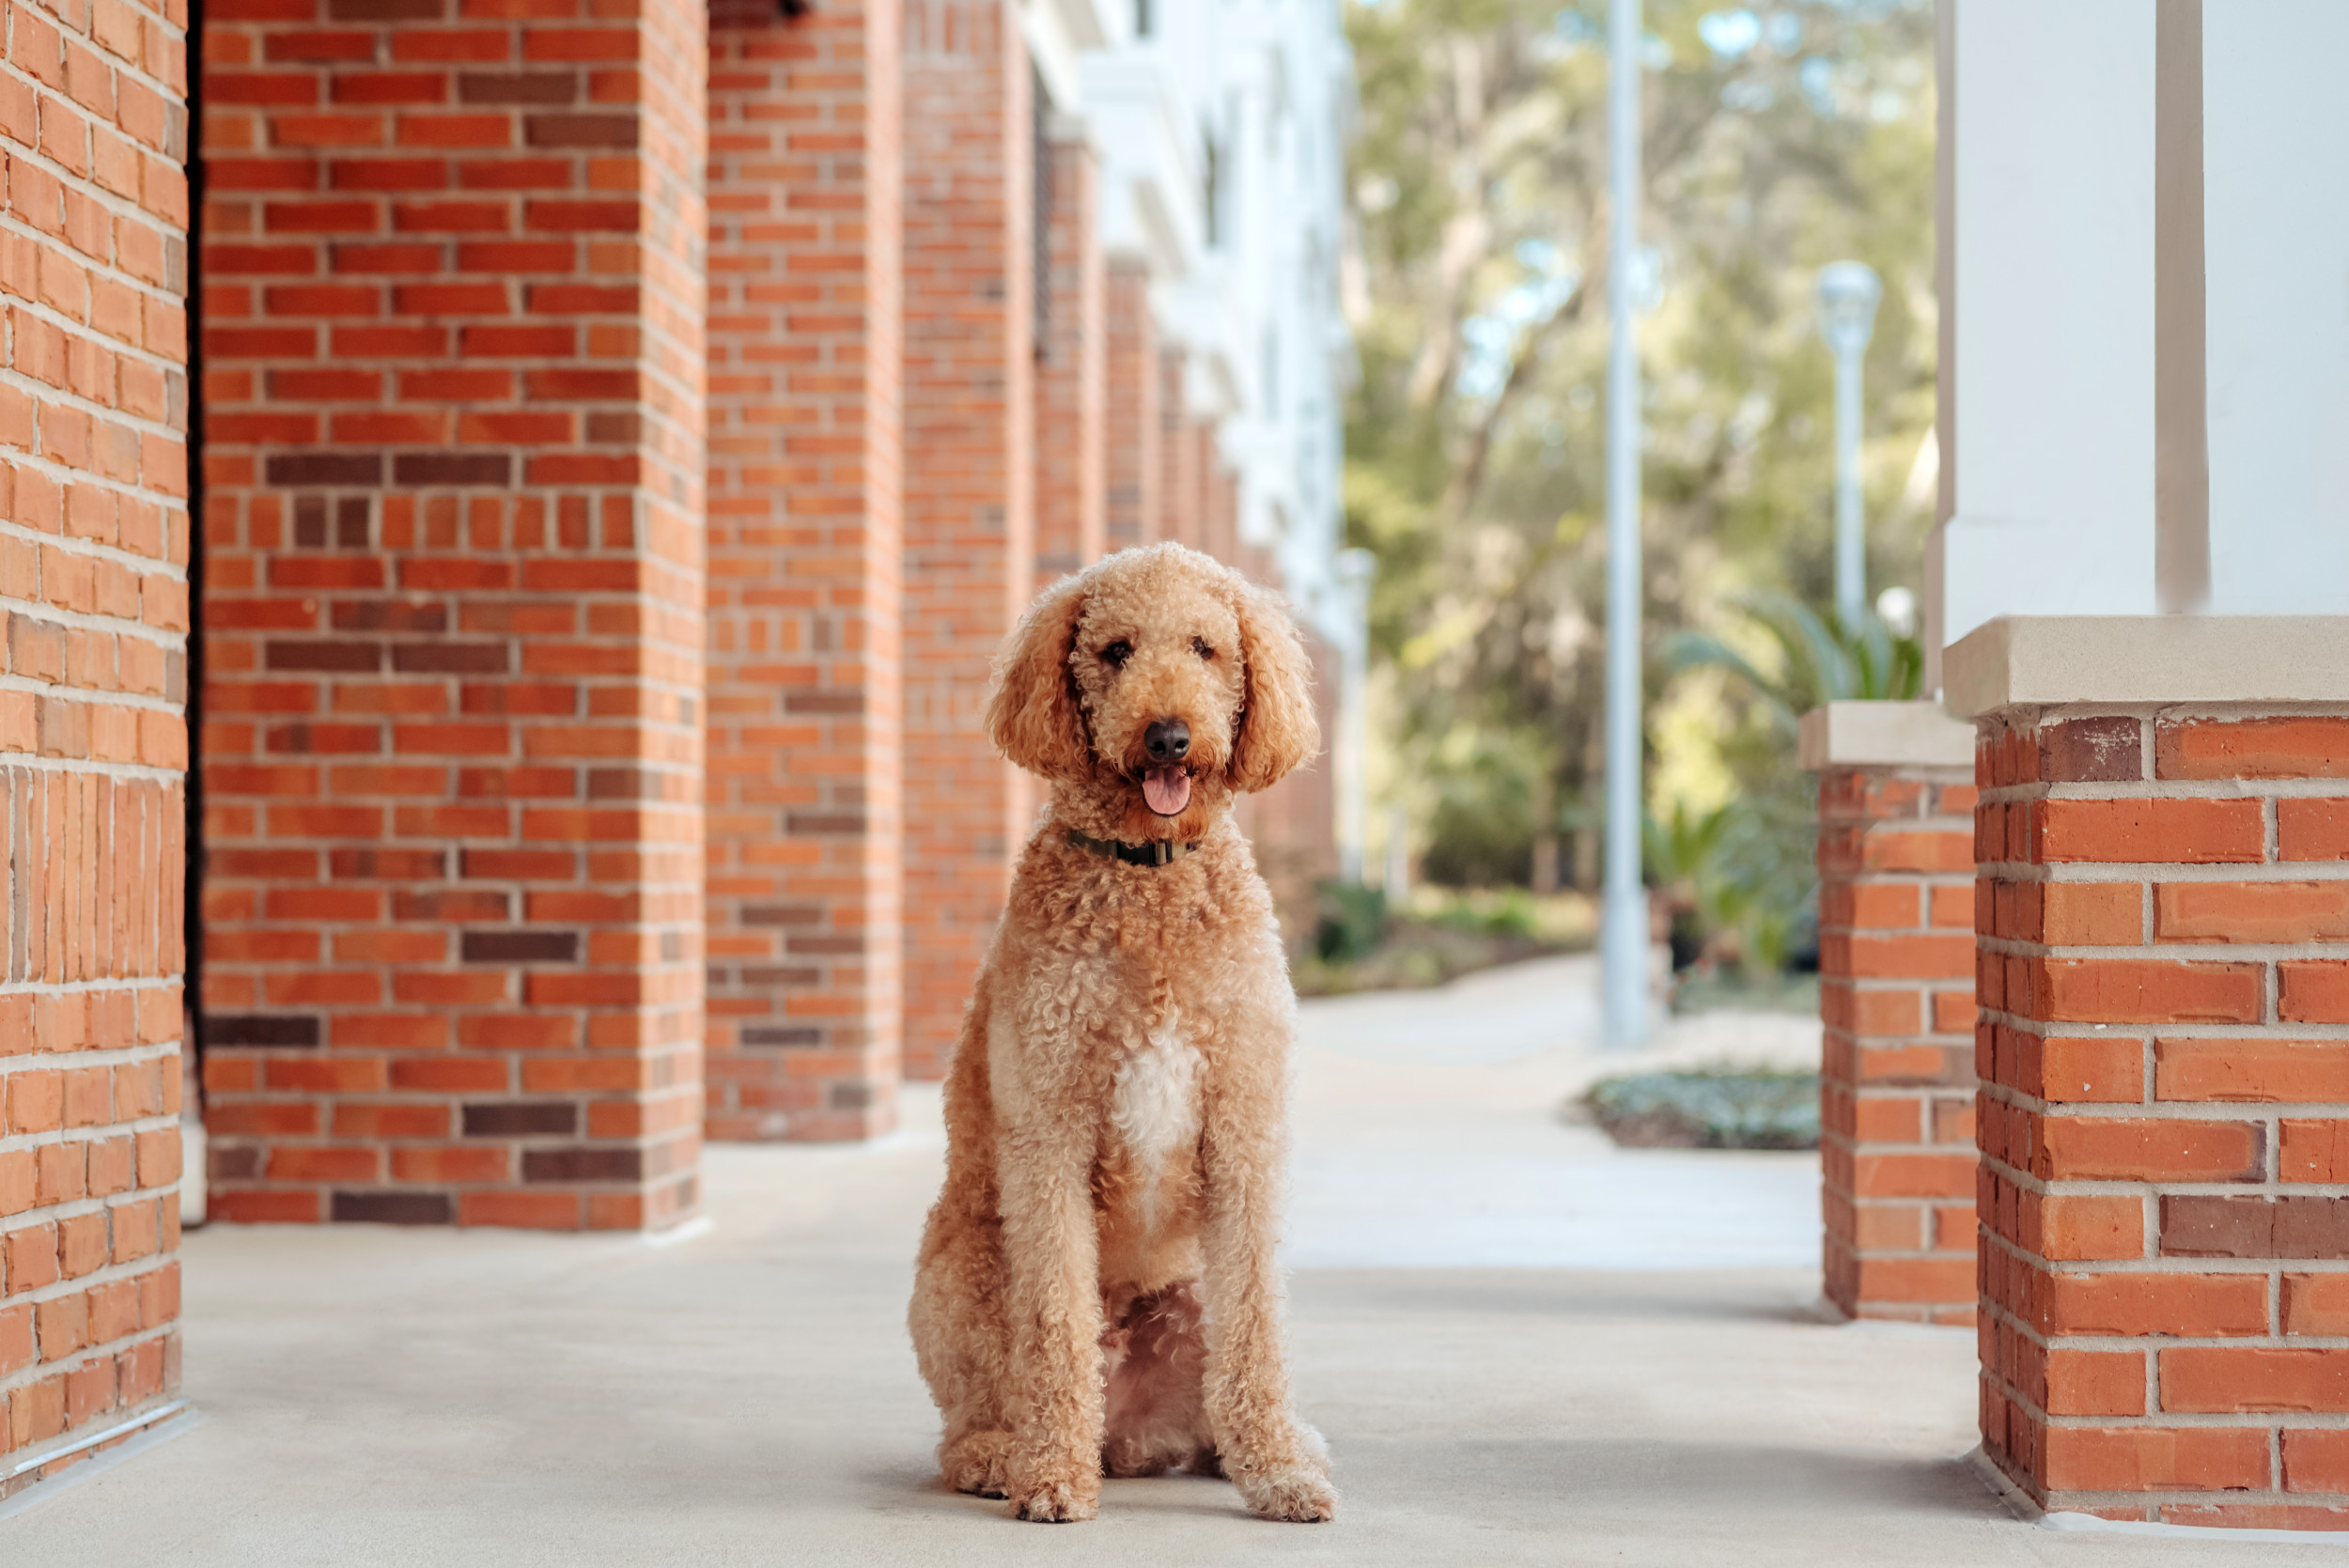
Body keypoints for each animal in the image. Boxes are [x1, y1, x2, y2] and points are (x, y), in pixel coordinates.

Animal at [902, 544, 1334, 1521]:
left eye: (1207, 648)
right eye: (1115, 650)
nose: (1168, 735)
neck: (1149, 877)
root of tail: (1130, 1433)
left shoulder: (1242, 1129)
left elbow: (1258, 1326)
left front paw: (1279, 1477)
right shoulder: (1050, 1136)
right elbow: (1055, 1326)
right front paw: (1054, 1480)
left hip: (1190, 1298)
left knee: (1219, 1389)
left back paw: (1276, 1446)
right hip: (960, 1274)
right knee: (970, 1417)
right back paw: (1008, 1454)